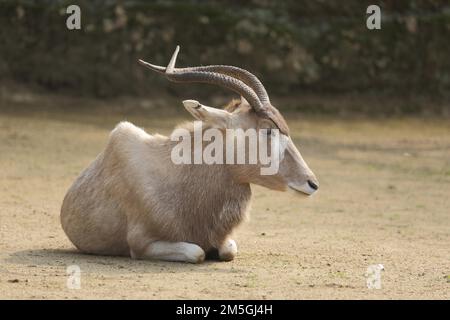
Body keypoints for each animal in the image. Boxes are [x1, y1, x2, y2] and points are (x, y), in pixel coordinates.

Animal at [60, 46, 320, 264]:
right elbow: (197, 252)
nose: (312, 183)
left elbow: (228, 250)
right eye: (267, 129)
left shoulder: (224, 241)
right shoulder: (142, 245)